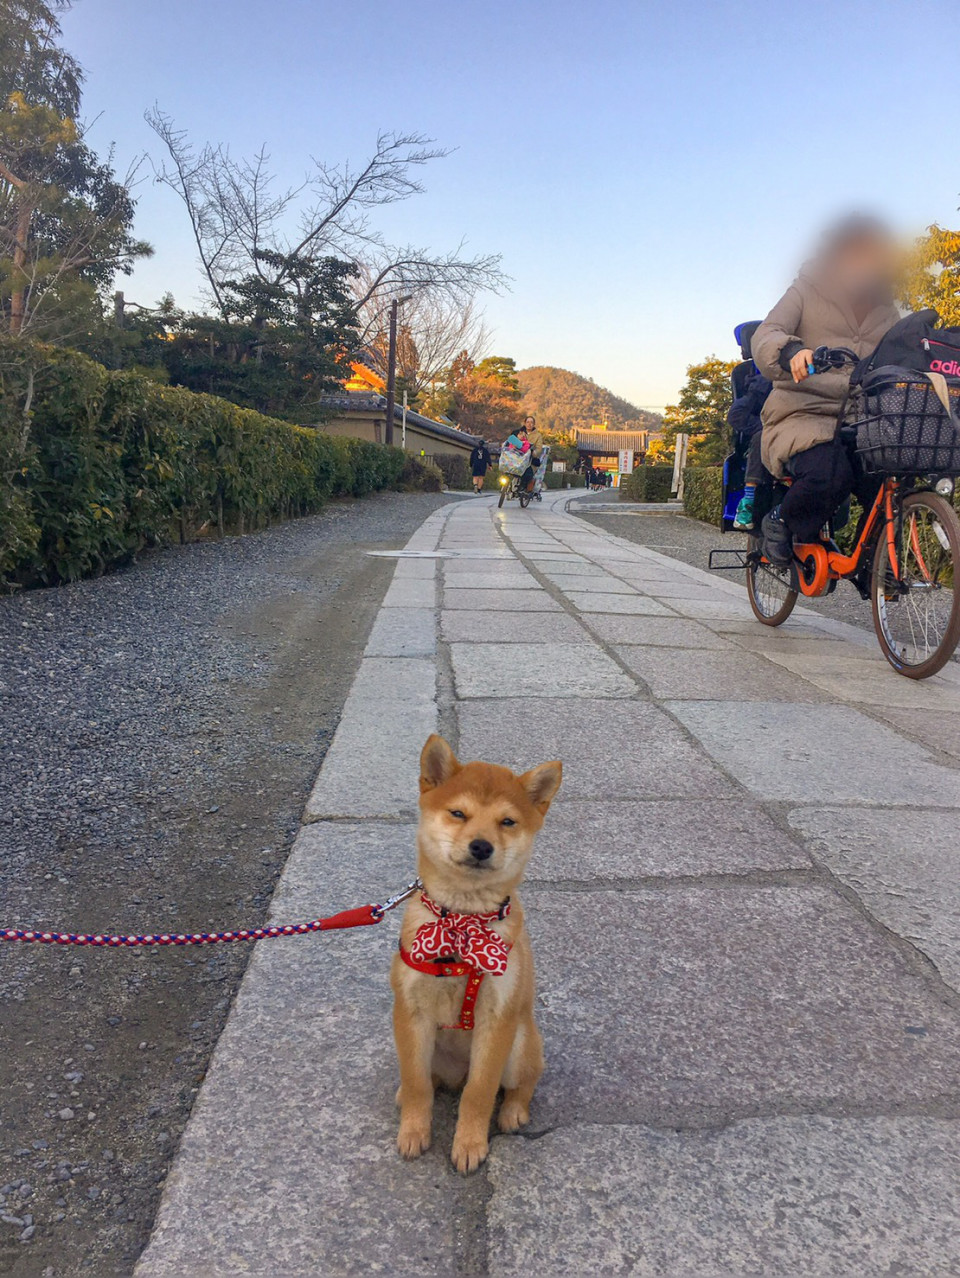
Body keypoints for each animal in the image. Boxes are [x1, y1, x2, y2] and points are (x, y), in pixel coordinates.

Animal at [391, 736, 562, 1170]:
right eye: (458, 813)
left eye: (507, 822)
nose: (481, 846)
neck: (462, 923)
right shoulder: (410, 1012)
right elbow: (417, 1084)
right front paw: (413, 1131)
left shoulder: (497, 1018)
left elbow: (479, 1092)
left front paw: (468, 1144)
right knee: (425, 1079)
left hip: (520, 1044)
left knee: (523, 1083)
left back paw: (513, 1112)